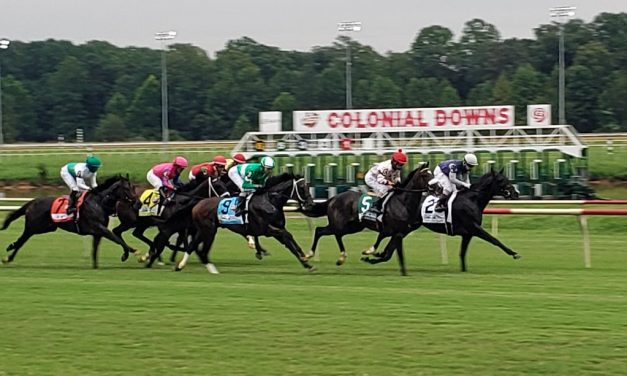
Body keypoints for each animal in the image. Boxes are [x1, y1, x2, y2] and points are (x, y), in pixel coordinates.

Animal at [1, 175, 140, 268]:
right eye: (127, 188)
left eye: (134, 187)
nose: (138, 203)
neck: (98, 202)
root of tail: (32, 202)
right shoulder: (99, 228)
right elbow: (116, 239)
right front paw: (132, 253)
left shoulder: (97, 233)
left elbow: (95, 249)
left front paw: (95, 266)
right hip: (33, 227)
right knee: (22, 240)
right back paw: (10, 252)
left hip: (46, 228)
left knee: (23, 240)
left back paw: (10, 254)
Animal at [166, 173, 316, 274]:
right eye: (301, 187)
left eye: (308, 186)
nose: (310, 204)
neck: (270, 201)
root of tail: (198, 203)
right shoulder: (267, 230)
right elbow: (287, 236)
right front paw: (305, 258)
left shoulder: (277, 228)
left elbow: (290, 242)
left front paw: (306, 262)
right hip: (209, 231)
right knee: (201, 250)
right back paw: (211, 269)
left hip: (202, 230)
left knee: (192, 246)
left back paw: (181, 266)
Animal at [302, 162, 432, 274]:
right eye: (425, 175)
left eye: (432, 174)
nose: (435, 186)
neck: (401, 202)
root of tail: (333, 198)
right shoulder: (387, 228)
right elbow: (380, 238)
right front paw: (369, 251)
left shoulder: (399, 233)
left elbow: (387, 251)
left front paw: (374, 256)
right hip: (340, 224)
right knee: (333, 234)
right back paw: (340, 257)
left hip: (353, 227)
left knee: (321, 231)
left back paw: (310, 255)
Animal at [364, 169, 520, 272]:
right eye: (501, 180)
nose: (515, 193)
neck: (472, 199)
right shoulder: (474, 228)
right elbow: (494, 240)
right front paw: (513, 253)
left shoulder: (468, 234)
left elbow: (462, 253)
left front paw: (464, 270)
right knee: (390, 240)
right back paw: (374, 255)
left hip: (407, 227)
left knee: (392, 244)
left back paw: (376, 256)